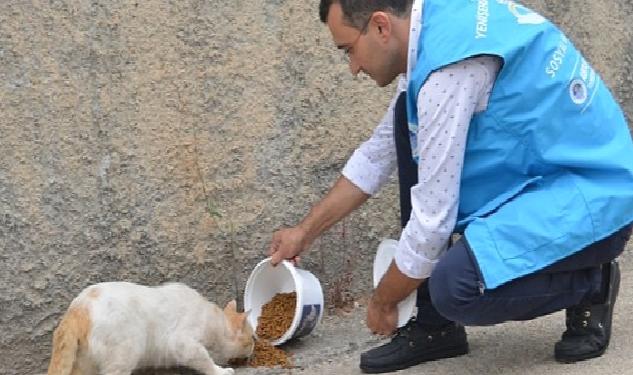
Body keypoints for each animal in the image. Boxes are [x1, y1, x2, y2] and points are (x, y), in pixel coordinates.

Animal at [47, 284, 254, 375]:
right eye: (253, 338)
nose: (253, 348)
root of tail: (76, 309)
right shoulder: (183, 342)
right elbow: (204, 360)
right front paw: (220, 370)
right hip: (126, 351)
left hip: (84, 362)